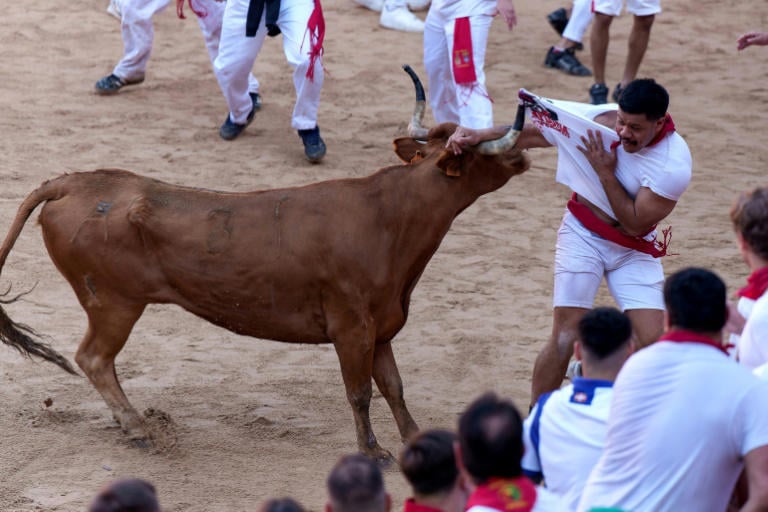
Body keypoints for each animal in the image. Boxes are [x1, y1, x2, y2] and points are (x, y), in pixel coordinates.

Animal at [0, 123, 528, 460]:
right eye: (482, 150)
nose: (521, 152)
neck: (392, 216)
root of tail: (72, 183)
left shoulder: (381, 327)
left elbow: (393, 388)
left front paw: (416, 440)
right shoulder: (351, 328)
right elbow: (359, 392)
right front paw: (374, 451)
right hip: (114, 303)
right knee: (93, 358)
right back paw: (138, 428)